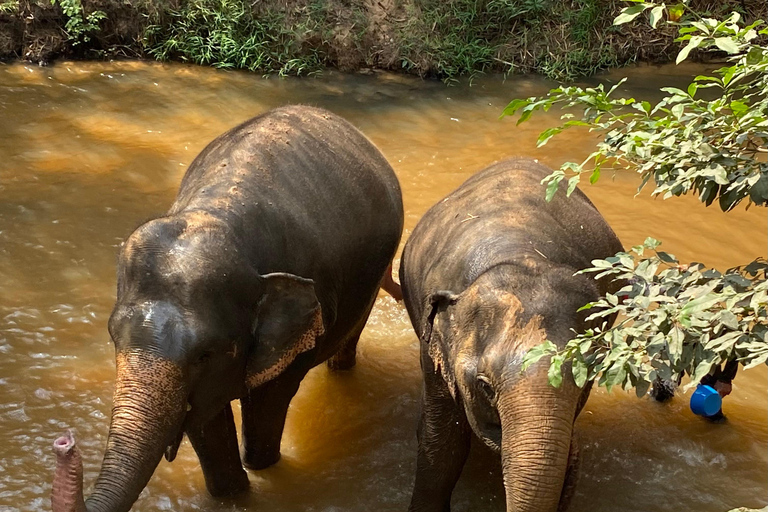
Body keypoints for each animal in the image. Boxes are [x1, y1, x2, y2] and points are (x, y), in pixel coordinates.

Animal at [50, 105, 404, 512]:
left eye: (204, 354)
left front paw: (261, 468)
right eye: (113, 338)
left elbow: (266, 403)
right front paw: (231, 492)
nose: (64, 441)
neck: (216, 213)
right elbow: (206, 420)